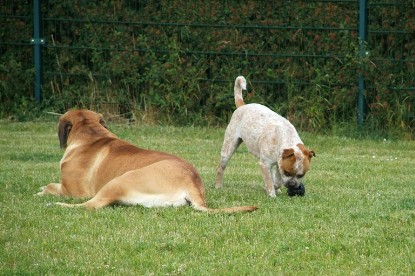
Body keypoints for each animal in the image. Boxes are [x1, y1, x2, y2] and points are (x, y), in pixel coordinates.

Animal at [36, 109, 256, 212]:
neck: (92, 135)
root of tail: (192, 182)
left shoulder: (73, 190)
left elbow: (52, 185)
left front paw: (43, 191)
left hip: (118, 181)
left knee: (91, 205)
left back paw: (54, 205)